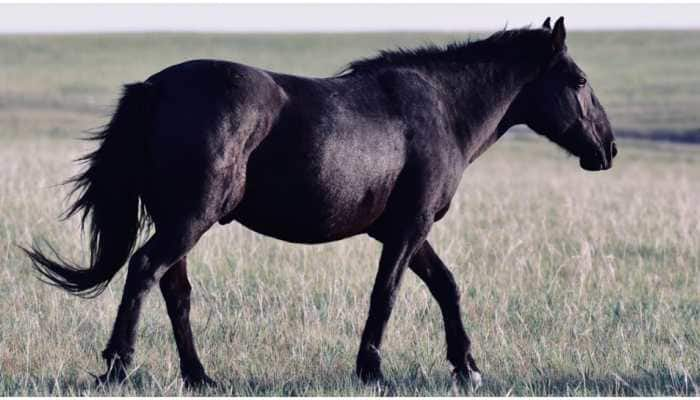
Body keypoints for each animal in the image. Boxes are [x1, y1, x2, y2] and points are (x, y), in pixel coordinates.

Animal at [23, 17, 612, 390]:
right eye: (580, 80)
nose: (607, 149)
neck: (441, 109)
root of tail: (154, 88)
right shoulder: (409, 228)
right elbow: (386, 295)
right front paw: (371, 370)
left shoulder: (403, 230)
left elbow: (446, 287)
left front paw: (465, 366)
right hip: (190, 219)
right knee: (145, 271)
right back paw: (118, 368)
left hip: (181, 222)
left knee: (175, 291)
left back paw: (199, 376)